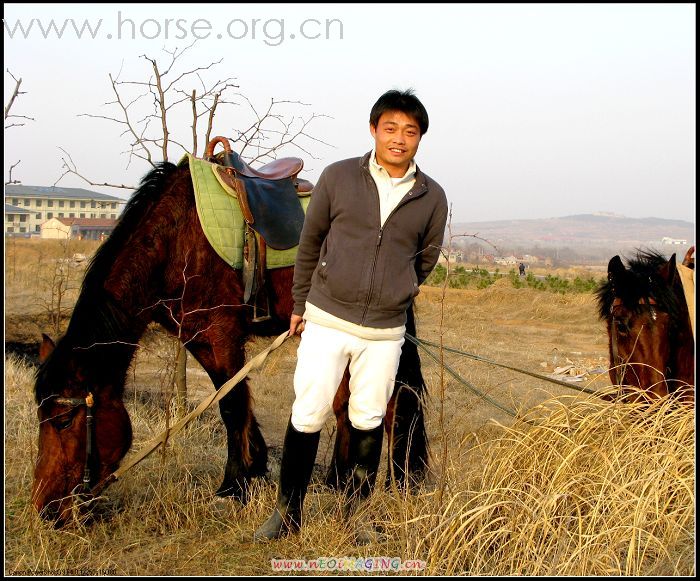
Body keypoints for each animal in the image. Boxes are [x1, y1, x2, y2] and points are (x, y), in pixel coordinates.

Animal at [34, 161, 432, 524]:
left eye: (64, 420)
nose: (46, 510)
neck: (175, 239)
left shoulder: (223, 332)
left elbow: (230, 404)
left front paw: (232, 487)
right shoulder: (197, 338)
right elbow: (230, 397)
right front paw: (253, 468)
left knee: (398, 401)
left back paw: (401, 483)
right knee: (344, 402)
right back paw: (340, 480)